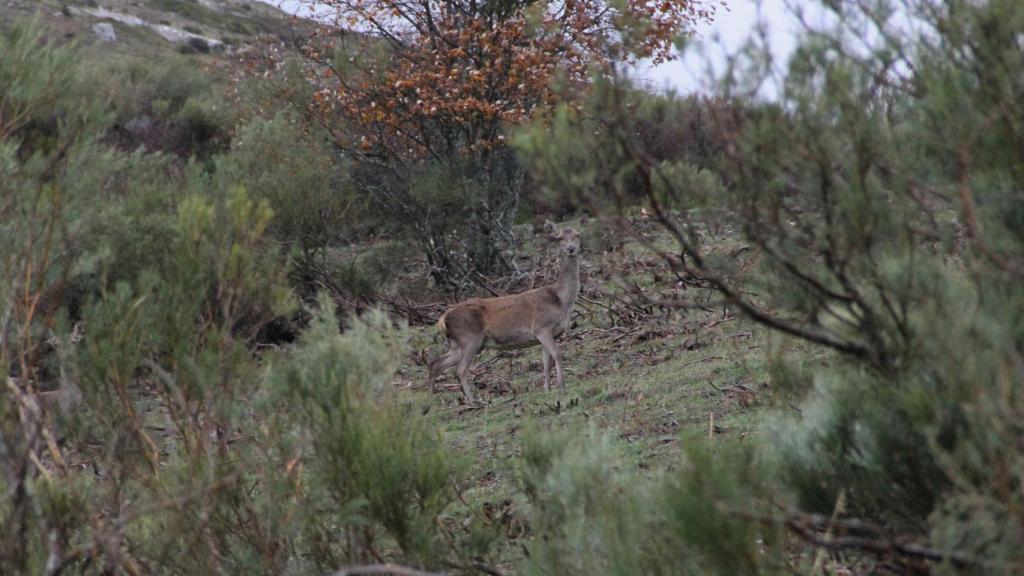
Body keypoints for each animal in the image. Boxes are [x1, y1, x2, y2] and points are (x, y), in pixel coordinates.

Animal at [425, 222, 585, 397]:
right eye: (559, 238)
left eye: (577, 235)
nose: (571, 248)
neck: (560, 301)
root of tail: (443, 320)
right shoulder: (541, 328)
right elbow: (557, 354)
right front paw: (562, 387)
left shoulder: (548, 335)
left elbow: (546, 363)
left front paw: (548, 390)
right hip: (469, 339)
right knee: (460, 370)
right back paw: (472, 399)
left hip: (458, 343)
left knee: (436, 364)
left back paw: (432, 398)